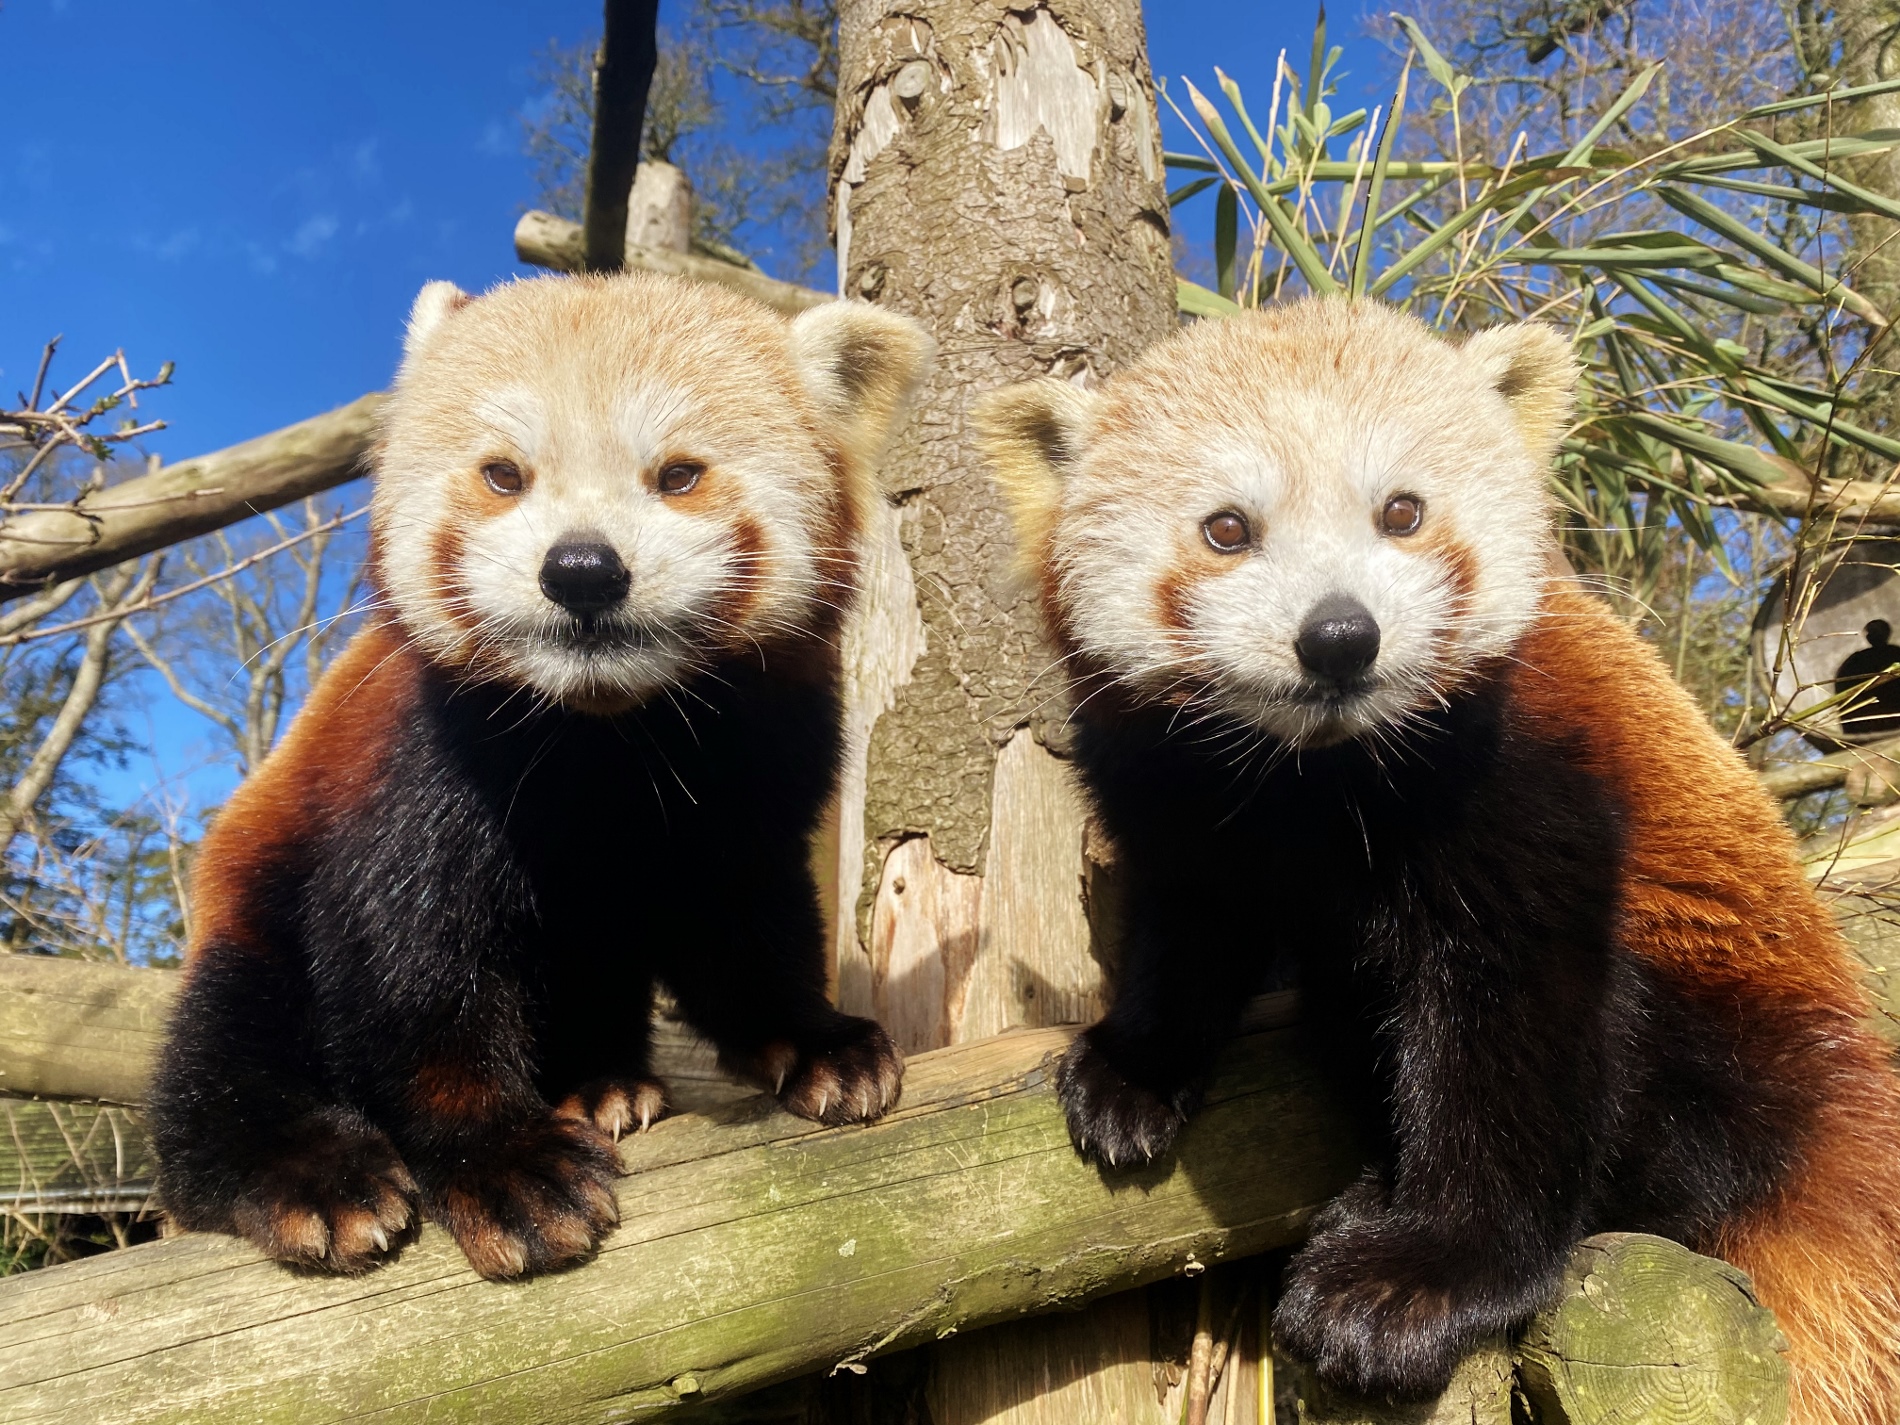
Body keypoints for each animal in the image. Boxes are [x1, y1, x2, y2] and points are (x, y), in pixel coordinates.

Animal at [149, 273, 930, 1281]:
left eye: (678, 474)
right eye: (503, 475)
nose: (582, 568)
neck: (607, 738)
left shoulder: (751, 775)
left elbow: (746, 924)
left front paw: (815, 1038)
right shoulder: (420, 775)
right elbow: (410, 975)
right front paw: (501, 1160)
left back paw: (599, 1078)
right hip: (254, 890)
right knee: (229, 1040)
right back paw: (307, 1170)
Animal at [976, 298, 1900, 1424]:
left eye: (1403, 513)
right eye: (1227, 529)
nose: (1340, 636)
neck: (1310, 778)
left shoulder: (1528, 780)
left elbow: (1514, 1027)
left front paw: (1428, 1278)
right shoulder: (1178, 794)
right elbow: (1188, 926)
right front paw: (1135, 1067)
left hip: (1725, 1039)